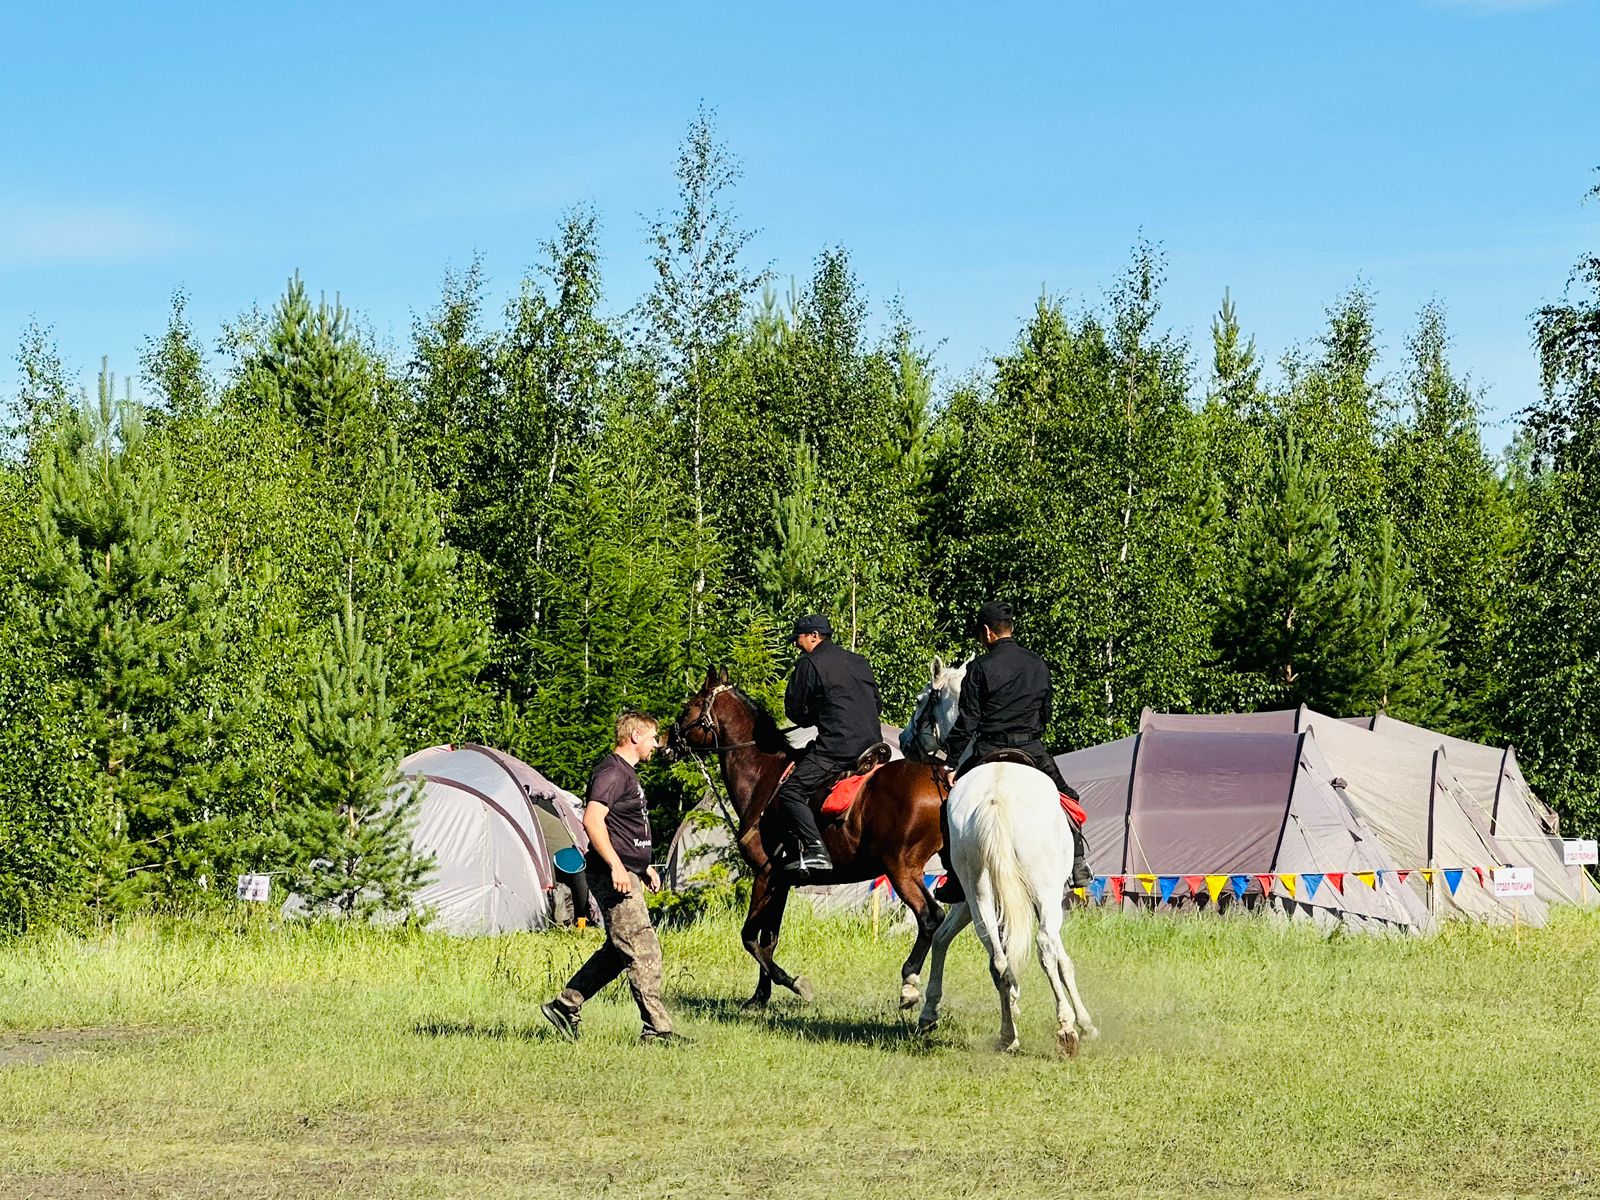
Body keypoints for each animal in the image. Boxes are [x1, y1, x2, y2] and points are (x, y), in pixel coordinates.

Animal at [665, 672, 947, 1011]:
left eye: (689, 707)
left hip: (901, 869)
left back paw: (909, 984)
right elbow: (769, 939)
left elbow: (750, 937)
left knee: (930, 917)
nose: (667, 742)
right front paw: (759, 997)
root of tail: (940, 779)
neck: (761, 774)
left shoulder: (766, 874)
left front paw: (793, 983)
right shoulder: (782, 881)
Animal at [915, 764, 1100, 1056]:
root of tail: (995, 797)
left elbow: (941, 936)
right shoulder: (1047, 901)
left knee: (998, 960)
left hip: (978, 891)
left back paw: (1008, 1034)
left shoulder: (966, 902)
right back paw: (1065, 1029)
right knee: (1044, 947)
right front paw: (1085, 1024)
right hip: (1044, 890)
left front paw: (929, 1010)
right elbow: (1063, 962)